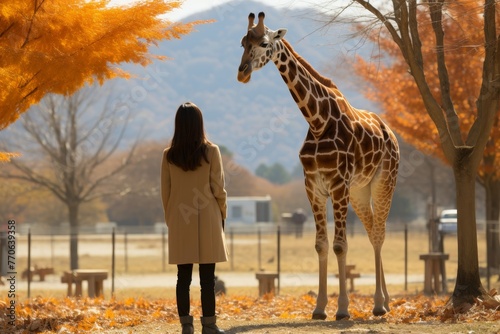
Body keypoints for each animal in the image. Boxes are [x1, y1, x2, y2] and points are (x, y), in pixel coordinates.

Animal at [236, 12, 400, 320]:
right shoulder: (313, 187)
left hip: (384, 182)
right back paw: (383, 300)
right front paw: (320, 308)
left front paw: (343, 309)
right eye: (242, 42)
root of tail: (391, 133)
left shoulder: (337, 185)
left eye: (264, 42)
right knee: (373, 230)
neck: (316, 120)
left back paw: (379, 303)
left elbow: (340, 245)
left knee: (380, 233)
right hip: (359, 191)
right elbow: (321, 245)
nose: (242, 72)